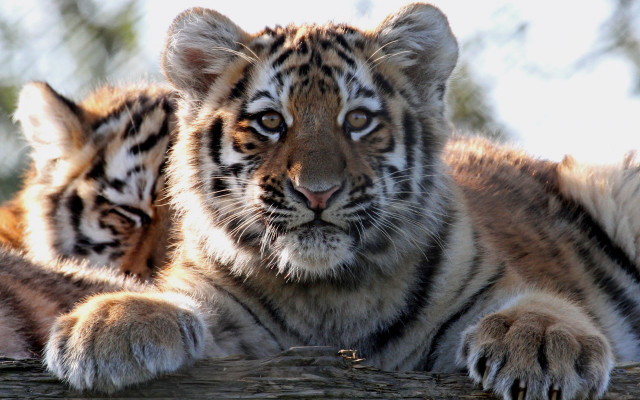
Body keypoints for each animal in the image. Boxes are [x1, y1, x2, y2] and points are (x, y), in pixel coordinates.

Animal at [35, 4, 640, 399]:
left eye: (358, 120)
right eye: (270, 122)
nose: (317, 191)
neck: (330, 293)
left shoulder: (484, 289)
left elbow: (539, 304)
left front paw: (542, 346)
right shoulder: (227, 321)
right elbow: (174, 301)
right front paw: (110, 324)